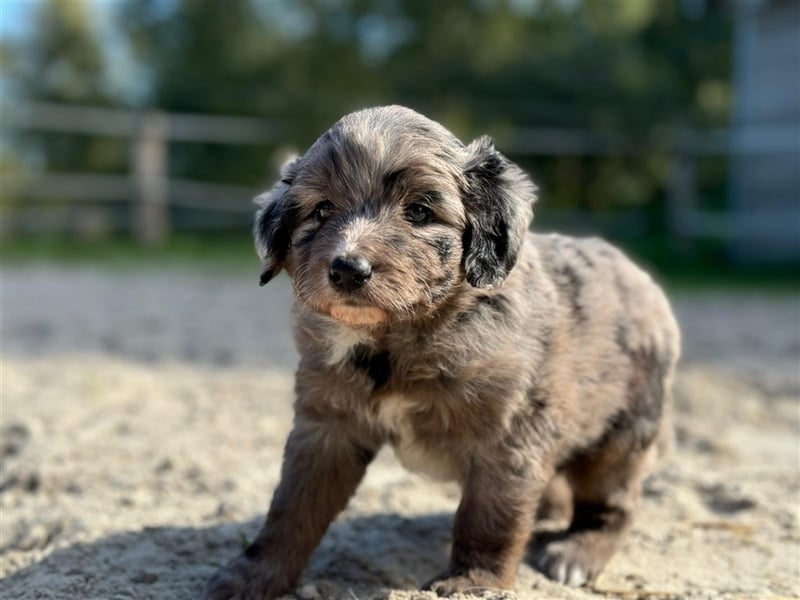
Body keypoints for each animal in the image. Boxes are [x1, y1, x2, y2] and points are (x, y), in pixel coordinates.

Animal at [203, 105, 680, 596]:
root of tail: (640, 276)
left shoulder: (507, 438)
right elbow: (293, 508)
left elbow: (489, 518)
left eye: (419, 211)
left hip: (621, 433)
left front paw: (473, 581)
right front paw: (254, 574)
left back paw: (577, 553)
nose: (348, 269)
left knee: (614, 504)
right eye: (322, 209)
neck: (399, 337)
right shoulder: (324, 427)